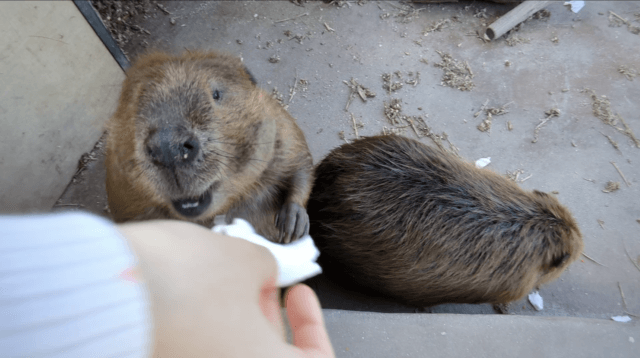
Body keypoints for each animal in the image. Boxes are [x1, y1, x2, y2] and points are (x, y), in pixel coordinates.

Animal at [106, 50, 314, 243]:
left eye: (216, 94)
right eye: (134, 103)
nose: (168, 147)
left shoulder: (280, 125)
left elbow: (301, 162)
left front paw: (293, 225)